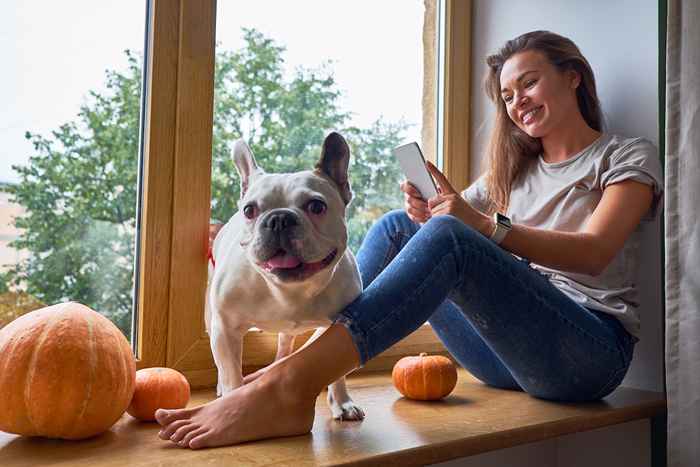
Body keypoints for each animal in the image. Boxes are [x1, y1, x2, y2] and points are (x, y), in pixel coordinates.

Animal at [204, 133, 364, 422]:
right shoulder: (225, 328)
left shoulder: (339, 325)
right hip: (211, 320)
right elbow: (231, 373)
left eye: (316, 206)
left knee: (285, 341)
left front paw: (342, 402)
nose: (279, 219)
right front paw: (232, 404)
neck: (289, 292)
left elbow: (338, 371)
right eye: (249, 211)